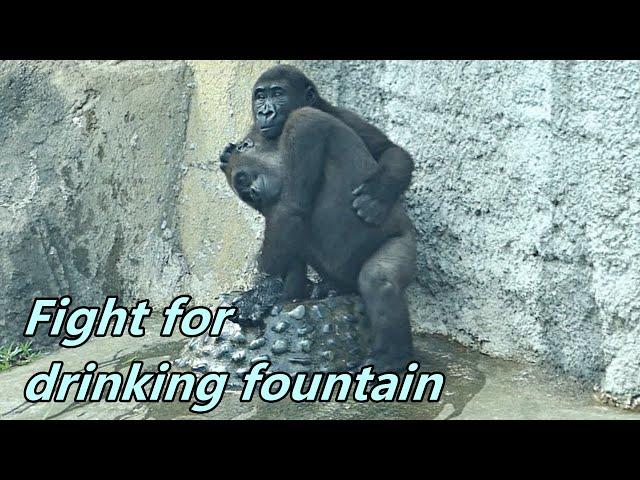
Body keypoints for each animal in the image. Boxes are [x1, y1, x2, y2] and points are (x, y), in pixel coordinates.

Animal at [220, 65, 418, 370]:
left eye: (277, 94)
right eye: (260, 96)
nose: (265, 112)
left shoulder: (304, 123)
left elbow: (290, 210)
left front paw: (259, 293)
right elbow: (284, 227)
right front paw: (277, 291)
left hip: (405, 242)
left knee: (379, 281)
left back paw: (390, 362)